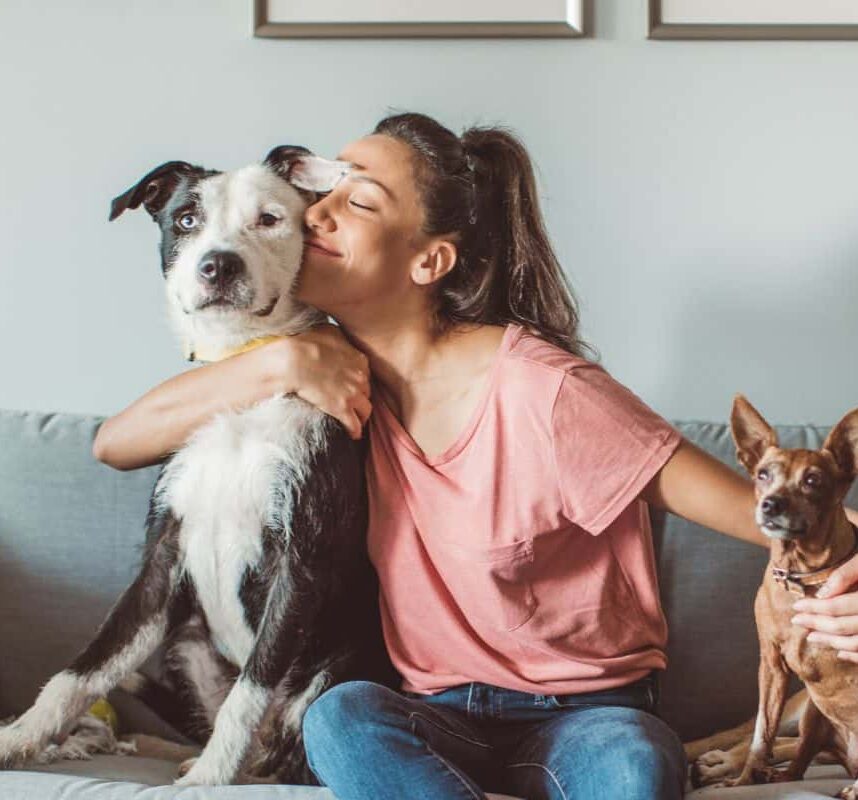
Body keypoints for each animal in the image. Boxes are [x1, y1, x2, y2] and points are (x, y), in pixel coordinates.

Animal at [0, 147, 396, 784]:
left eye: (269, 218)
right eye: (186, 219)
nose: (218, 265)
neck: (242, 374)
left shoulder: (301, 562)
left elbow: (251, 690)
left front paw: (209, 780)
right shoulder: (162, 558)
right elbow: (83, 669)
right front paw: (20, 738)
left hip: (335, 669)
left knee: (295, 754)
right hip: (185, 645)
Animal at [688, 396, 856, 796]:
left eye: (813, 480)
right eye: (763, 474)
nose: (771, 504)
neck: (801, 576)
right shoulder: (772, 665)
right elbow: (761, 736)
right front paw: (744, 780)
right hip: (809, 710)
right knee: (782, 751)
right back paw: (726, 767)